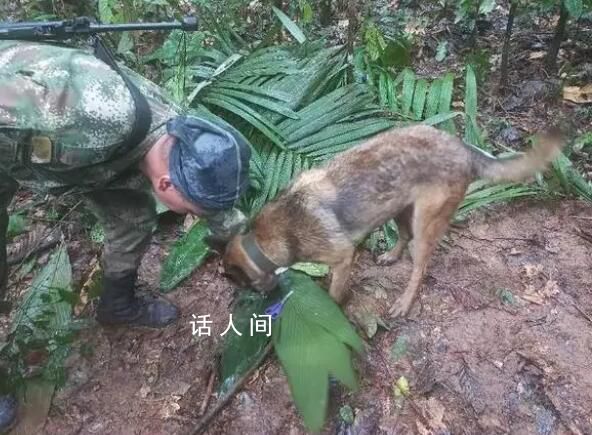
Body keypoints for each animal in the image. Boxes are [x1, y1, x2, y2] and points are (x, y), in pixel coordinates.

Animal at [220, 124, 560, 318]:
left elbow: (334, 293)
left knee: (420, 267)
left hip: (425, 223)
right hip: (399, 207)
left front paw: (333, 310)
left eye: (242, 285)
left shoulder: (342, 259)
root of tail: (463, 147)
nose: (263, 299)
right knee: (404, 236)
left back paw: (404, 302)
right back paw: (391, 256)